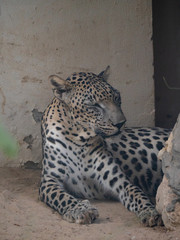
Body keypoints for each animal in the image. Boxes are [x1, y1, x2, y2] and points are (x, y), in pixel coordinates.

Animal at [39, 66, 170, 227]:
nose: (120, 123)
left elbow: (136, 193)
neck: (78, 140)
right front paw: (81, 210)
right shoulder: (49, 180)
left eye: (116, 97)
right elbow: (62, 197)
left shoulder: (120, 180)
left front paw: (149, 211)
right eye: (93, 105)